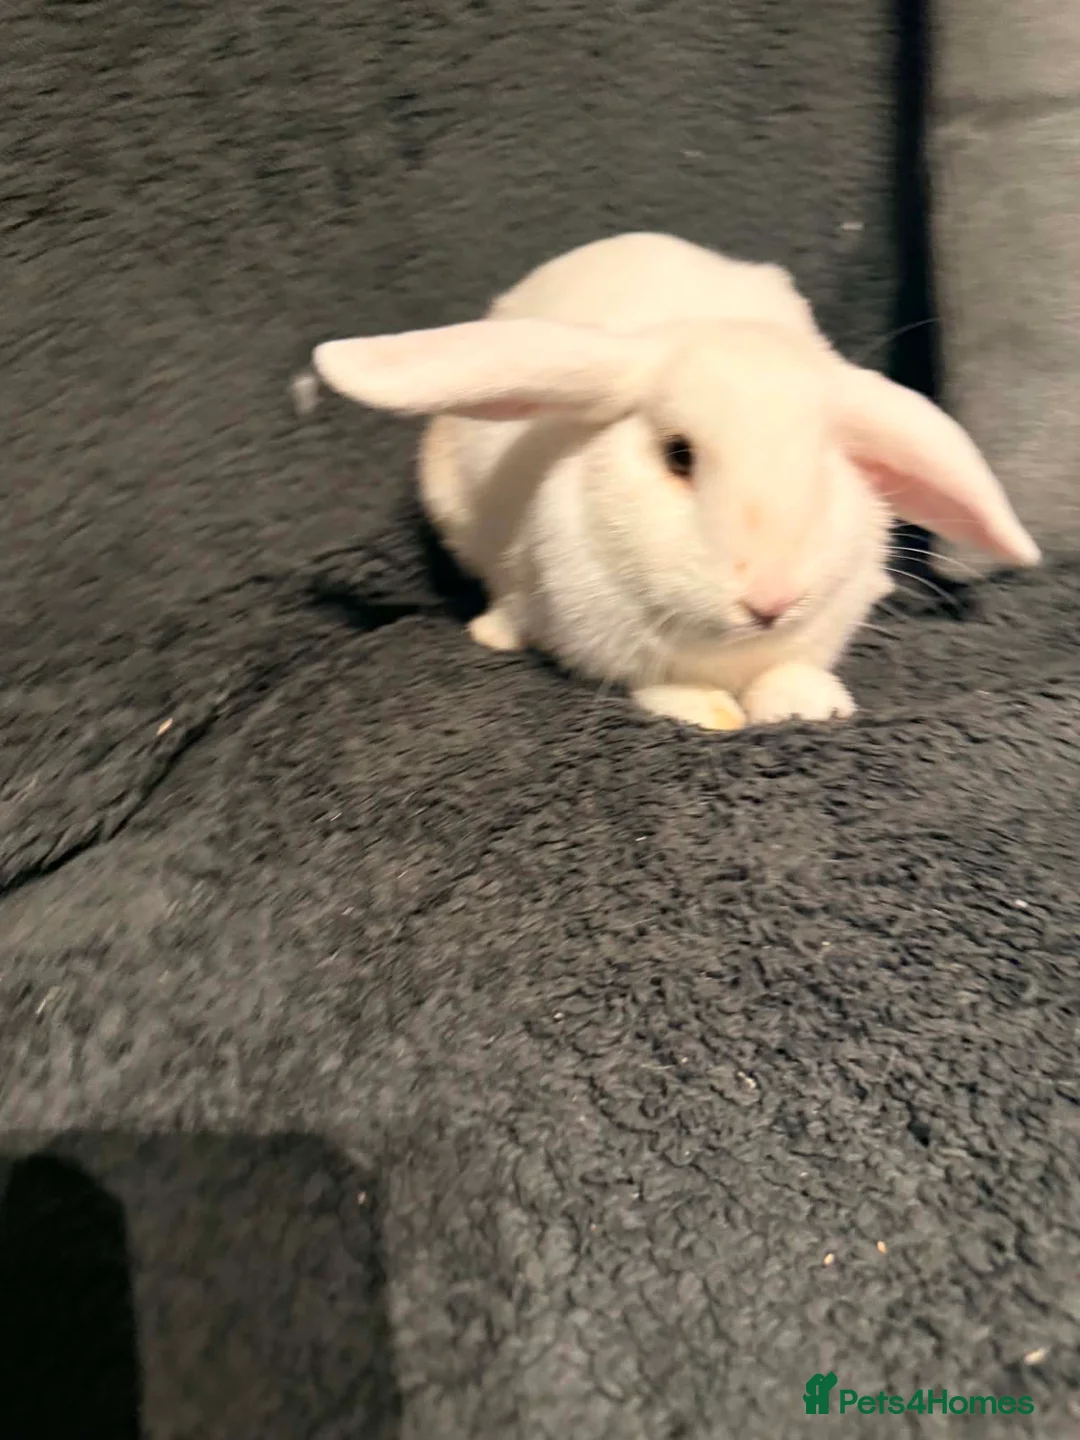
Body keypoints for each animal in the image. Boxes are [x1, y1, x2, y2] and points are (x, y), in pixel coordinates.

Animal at [311, 232, 1040, 732]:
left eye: (827, 461)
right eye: (678, 456)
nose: (771, 600)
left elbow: (791, 669)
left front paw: (810, 706)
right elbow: (663, 688)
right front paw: (711, 713)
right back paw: (497, 629)